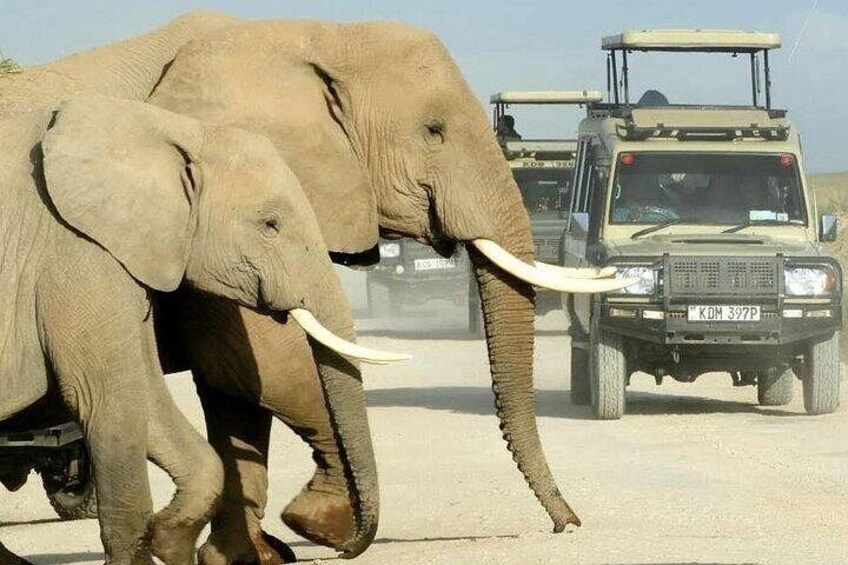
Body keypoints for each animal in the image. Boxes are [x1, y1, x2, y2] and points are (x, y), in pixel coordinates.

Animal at [0, 95, 405, 564]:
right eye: (270, 224)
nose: (340, 548)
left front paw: (170, 541)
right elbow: (107, 398)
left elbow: (146, 399)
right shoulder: (75, 254)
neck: (174, 131)